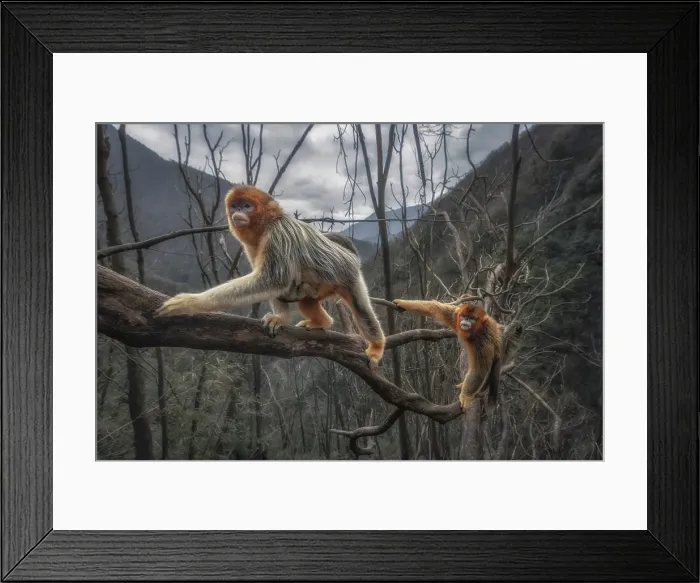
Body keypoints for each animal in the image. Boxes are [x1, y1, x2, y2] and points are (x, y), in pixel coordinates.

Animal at [155, 185, 386, 366]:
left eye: (246, 206)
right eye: (235, 206)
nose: (237, 212)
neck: (267, 224)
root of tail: (349, 255)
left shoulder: (278, 234)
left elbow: (272, 280)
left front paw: (191, 302)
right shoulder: (253, 245)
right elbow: (273, 283)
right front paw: (280, 318)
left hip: (349, 275)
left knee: (361, 308)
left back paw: (376, 345)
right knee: (304, 298)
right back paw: (321, 321)